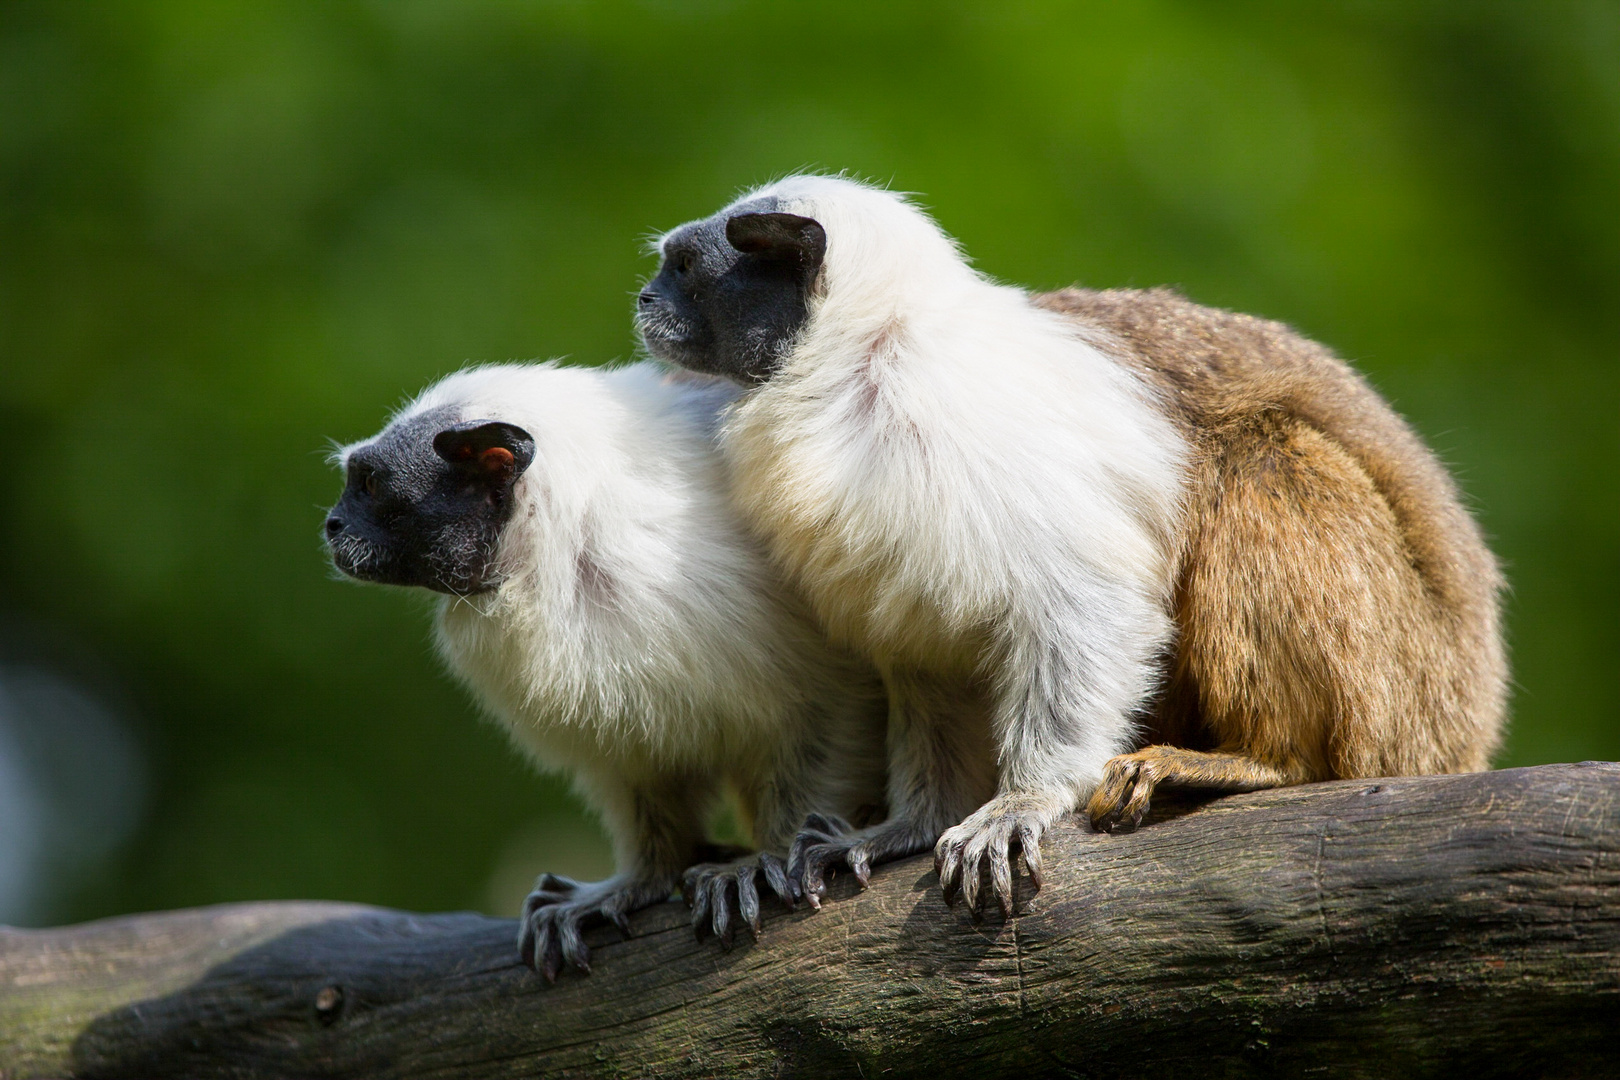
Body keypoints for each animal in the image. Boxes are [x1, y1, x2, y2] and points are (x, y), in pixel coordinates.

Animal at [325, 362, 887, 977]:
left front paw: (767, 859)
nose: (332, 525)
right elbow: (642, 775)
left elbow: (825, 720)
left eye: (370, 486)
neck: (568, 550)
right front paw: (639, 881)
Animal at [631, 177, 1503, 919]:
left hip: (1402, 693)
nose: (643, 300)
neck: (862, 363)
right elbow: (922, 655)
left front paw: (1025, 800)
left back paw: (1265, 760)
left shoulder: (964, 426)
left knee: (1257, 455)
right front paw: (909, 826)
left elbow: (1087, 605)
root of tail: (1465, 722)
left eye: (686, 269)